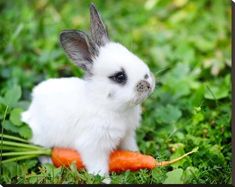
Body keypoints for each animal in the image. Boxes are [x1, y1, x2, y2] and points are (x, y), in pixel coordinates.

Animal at [21, 3, 155, 178]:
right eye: (119, 76)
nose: (148, 83)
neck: (107, 105)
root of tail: (31, 110)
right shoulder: (93, 147)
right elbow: (98, 167)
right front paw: (105, 180)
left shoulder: (127, 135)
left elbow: (130, 150)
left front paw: (138, 156)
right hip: (43, 139)